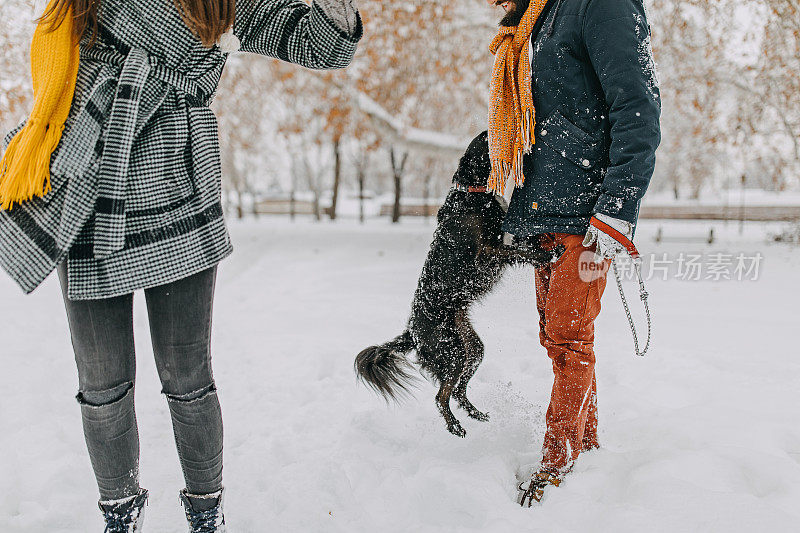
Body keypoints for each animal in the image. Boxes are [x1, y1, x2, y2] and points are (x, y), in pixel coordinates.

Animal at [356, 132, 564, 436]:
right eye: (489, 137)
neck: (472, 194)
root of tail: (412, 331)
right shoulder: (488, 252)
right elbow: (522, 252)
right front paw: (549, 253)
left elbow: (524, 244)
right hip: (451, 351)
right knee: (441, 395)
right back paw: (455, 426)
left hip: (472, 349)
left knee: (457, 390)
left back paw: (475, 414)